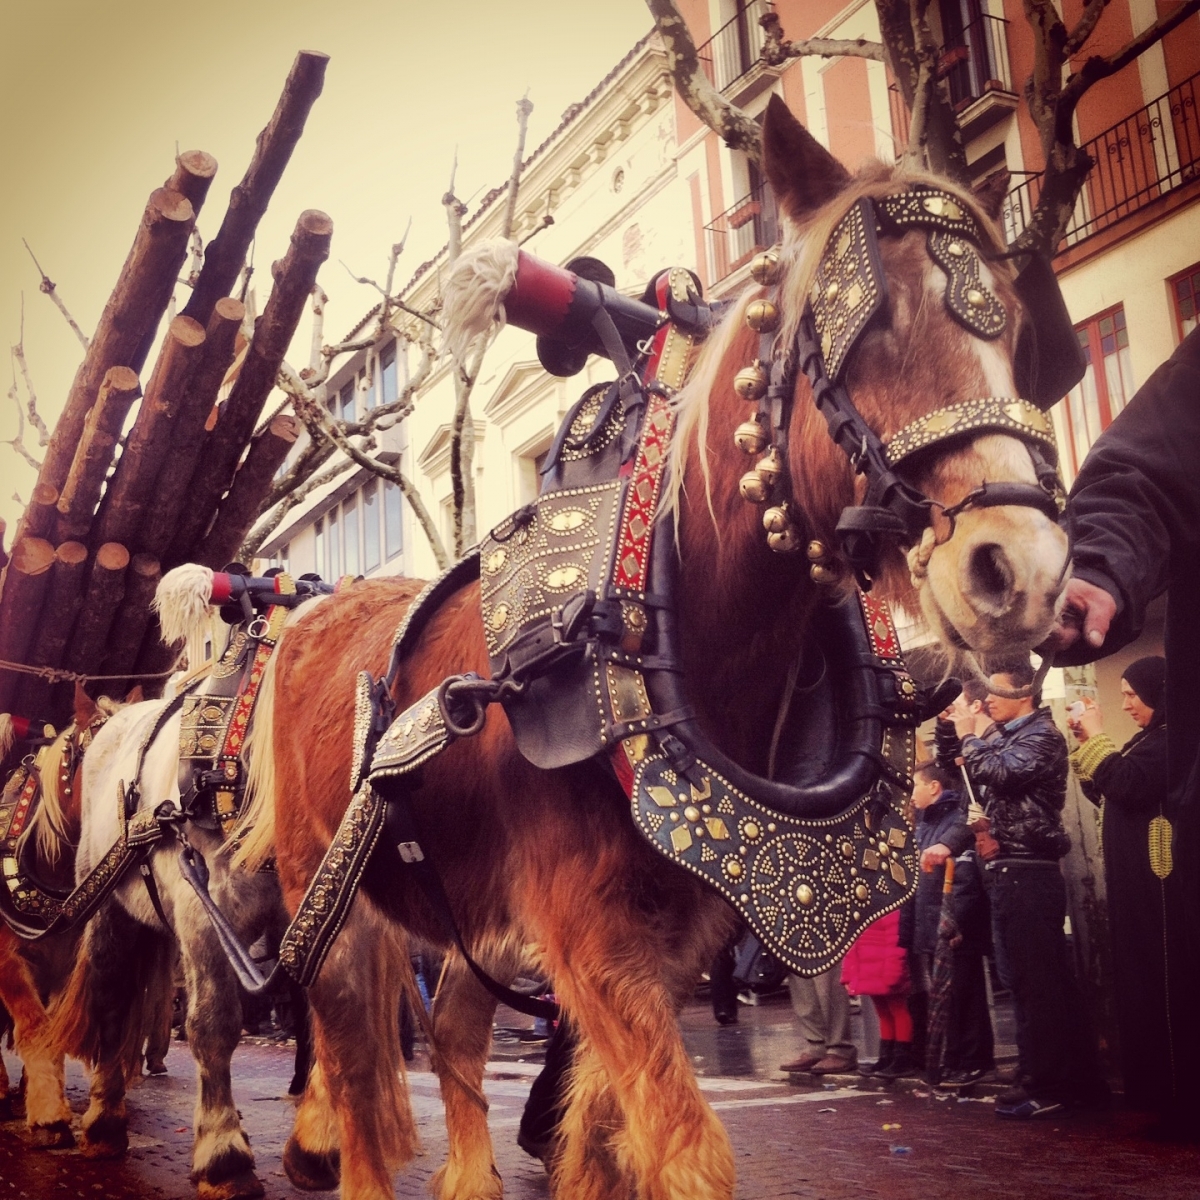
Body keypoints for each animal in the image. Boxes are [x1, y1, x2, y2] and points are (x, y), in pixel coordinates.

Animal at [243, 105, 1070, 1200]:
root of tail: (308, 622)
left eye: (1013, 331)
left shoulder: (668, 940)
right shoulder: (592, 936)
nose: (1021, 566)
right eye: (867, 325)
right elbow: (686, 1149)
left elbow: (607, 1135)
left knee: (452, 1035)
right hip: (323, 900)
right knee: (350, 1056)